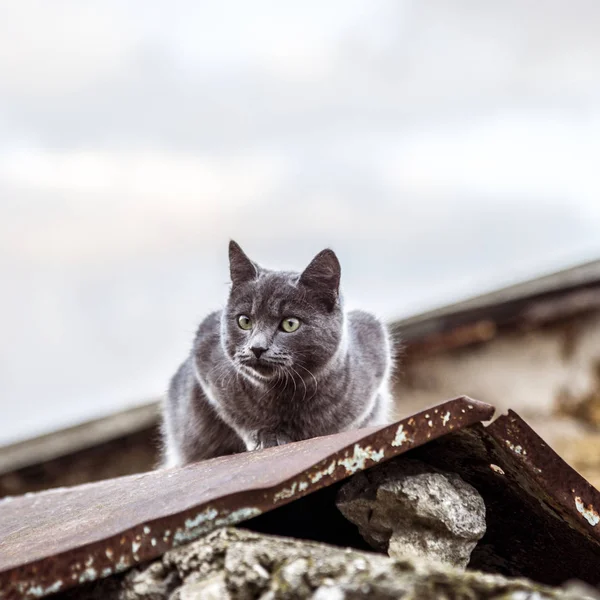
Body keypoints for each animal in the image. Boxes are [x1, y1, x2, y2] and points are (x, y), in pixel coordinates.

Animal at [162, 241, 394, 466]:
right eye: (244, 321)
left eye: (290, 324)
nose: (257, 348)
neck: (286, 395)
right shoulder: (206, 359)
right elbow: (237, 416)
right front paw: (267, 437)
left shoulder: (375, 343)